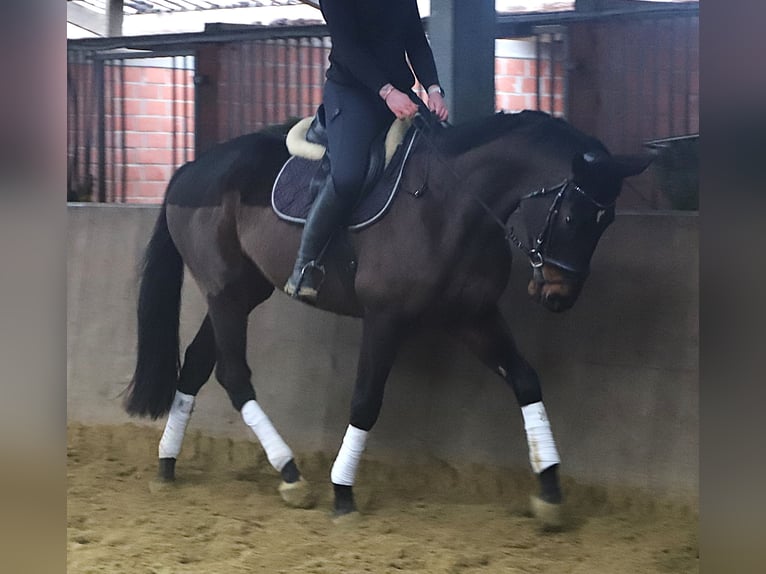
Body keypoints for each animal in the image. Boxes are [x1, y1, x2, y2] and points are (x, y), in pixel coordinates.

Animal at [124, 109, 652, 528]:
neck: (449, 206)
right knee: (233, 374)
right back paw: (291, 475)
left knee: (196, 365)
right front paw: (343, 492)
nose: (559, 296)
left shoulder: (473, 316)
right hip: (226, 292)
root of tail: (190, 169)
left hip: (239, 293)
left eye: (607, 220)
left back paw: (167, 466)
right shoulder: (385, 318)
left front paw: (549, 490)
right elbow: (365, 400)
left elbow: (525, 381)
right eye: (572, 216)